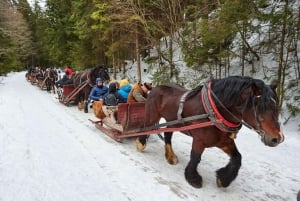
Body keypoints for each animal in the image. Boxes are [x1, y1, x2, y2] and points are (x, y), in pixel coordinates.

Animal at [135, 76, 284, 188]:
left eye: (276, 105)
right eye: (259, 106)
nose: (277, 138)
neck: (214, 111)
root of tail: (156, 88)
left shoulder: (224, 141)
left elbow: (237, 158)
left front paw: (223, 179)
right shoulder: (199, 140)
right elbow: (195, 157)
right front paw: (193, 178)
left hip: (173, 122)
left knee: (167, 134)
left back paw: (170, 156)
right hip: (152, 116)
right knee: (145, 127)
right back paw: (141, 143)